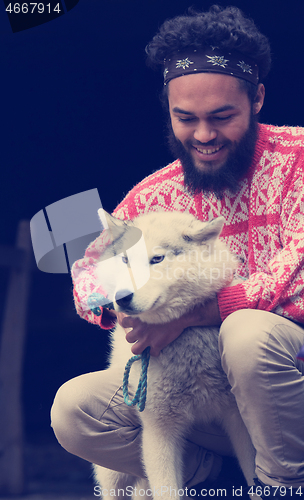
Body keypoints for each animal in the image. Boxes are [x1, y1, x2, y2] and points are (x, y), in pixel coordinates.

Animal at [94, 211, 255, 500]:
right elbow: (167, 490)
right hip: (114, 477)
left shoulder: (239, 422)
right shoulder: (160, 428)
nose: (121, 298)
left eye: (157, 259)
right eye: (125, 259)